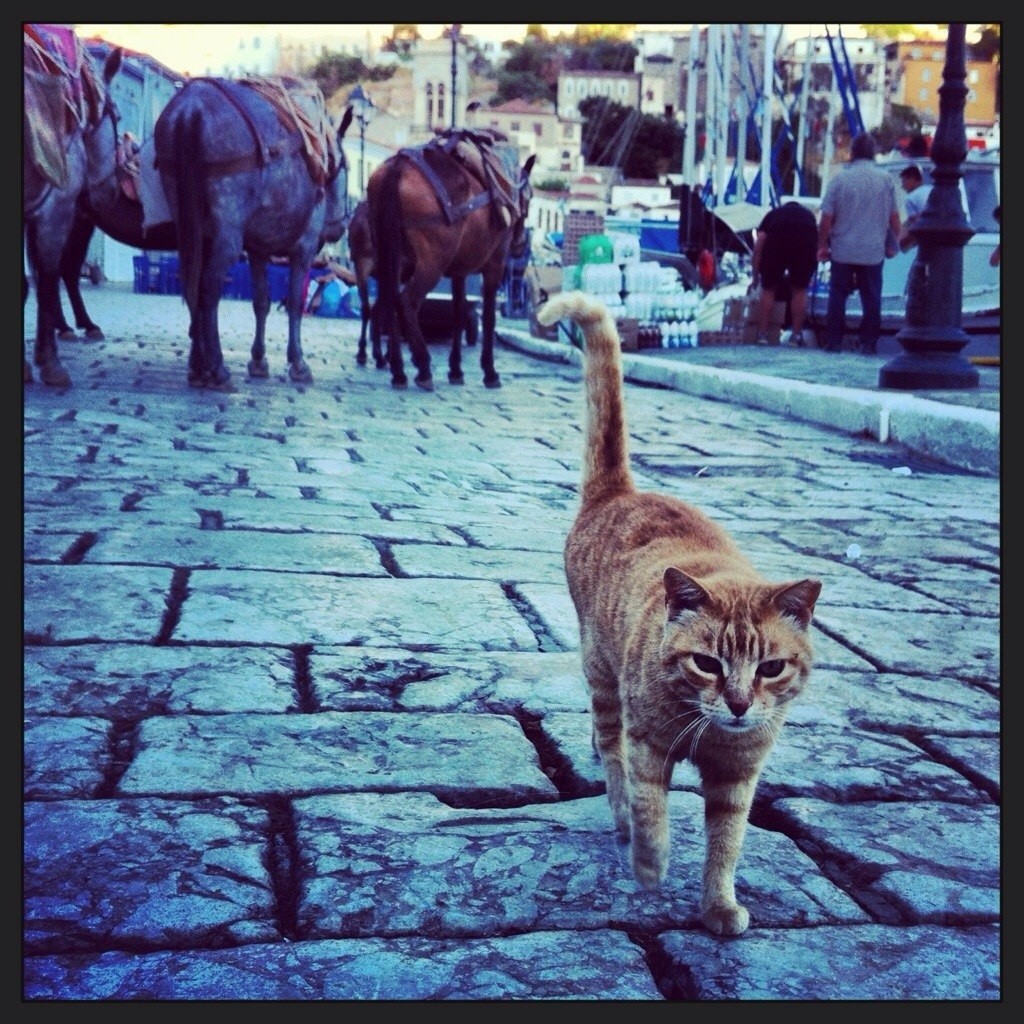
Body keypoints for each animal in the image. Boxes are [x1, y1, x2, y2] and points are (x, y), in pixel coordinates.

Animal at [536, 290, 823, 937]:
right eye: (707, 663)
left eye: (770, 669)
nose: (739, 704)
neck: (709, 731)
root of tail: (618, 491)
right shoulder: (648, 750)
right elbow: (651, 815)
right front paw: (649, 872)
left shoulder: (738, 779)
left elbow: (726, 846)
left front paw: (718, 907)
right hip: (602, 673)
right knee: (609, 747)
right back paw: (618, 815)